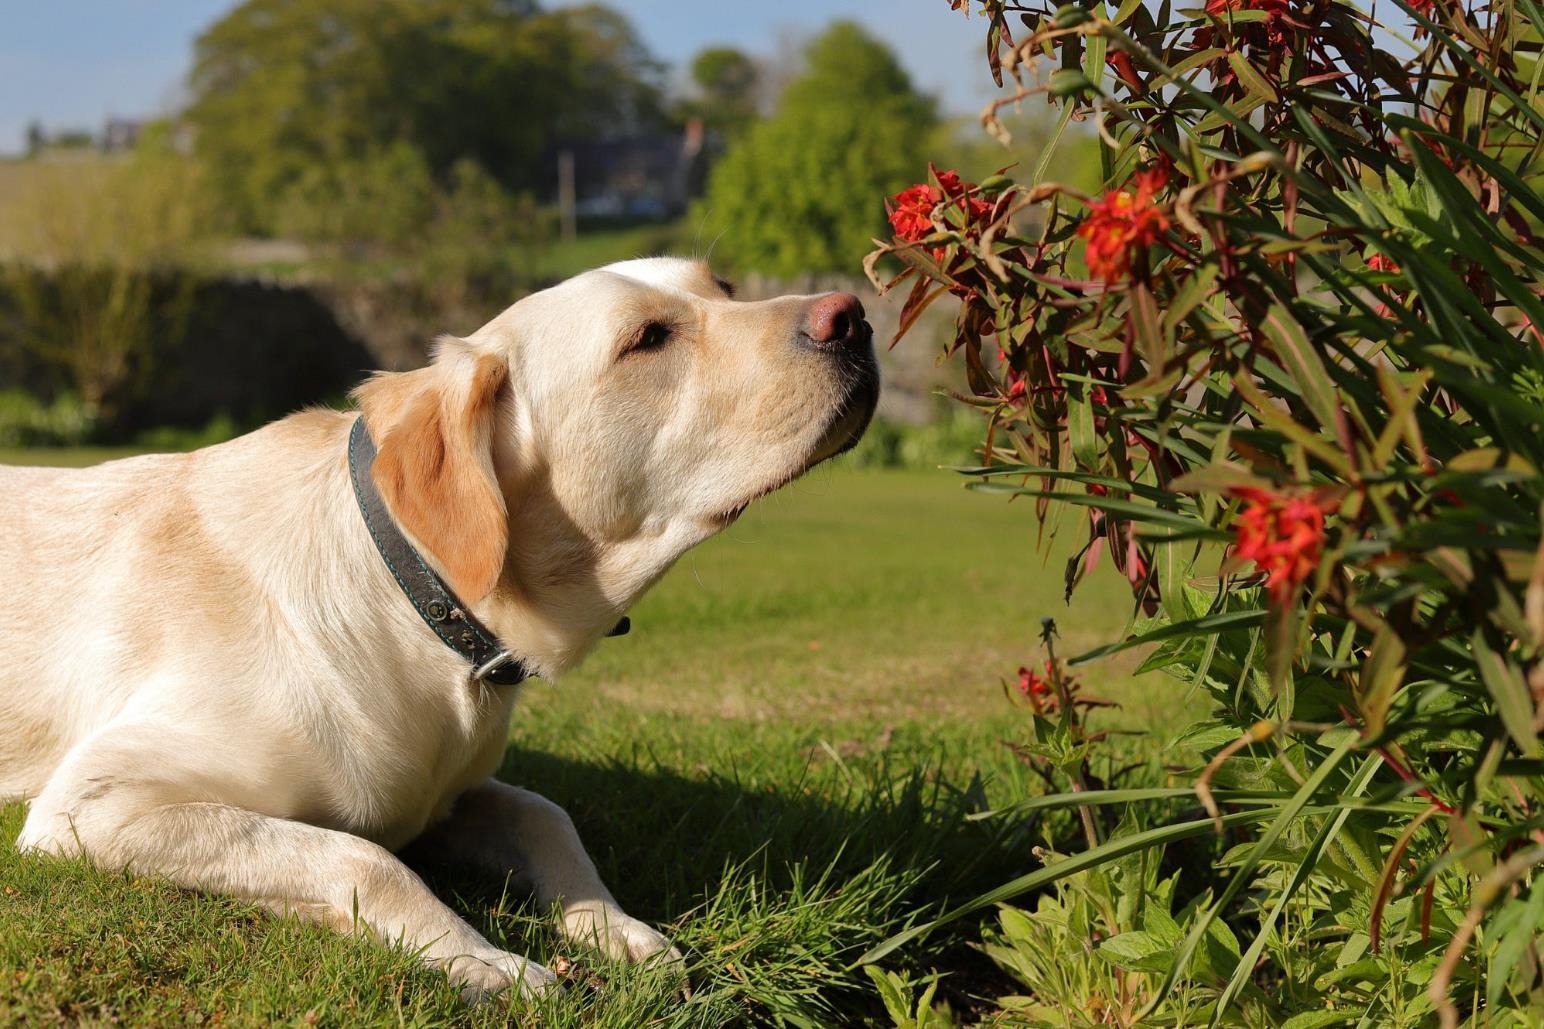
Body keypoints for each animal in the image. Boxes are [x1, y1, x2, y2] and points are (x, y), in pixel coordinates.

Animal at [0, 254, 876, 995]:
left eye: (722, 286)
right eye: (648, 338)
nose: (853, 315)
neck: (411, 600)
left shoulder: (452, 791)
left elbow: (545, 812)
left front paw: (613, 925)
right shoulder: (91, 805)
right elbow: (364, 855)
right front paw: (486, 959)